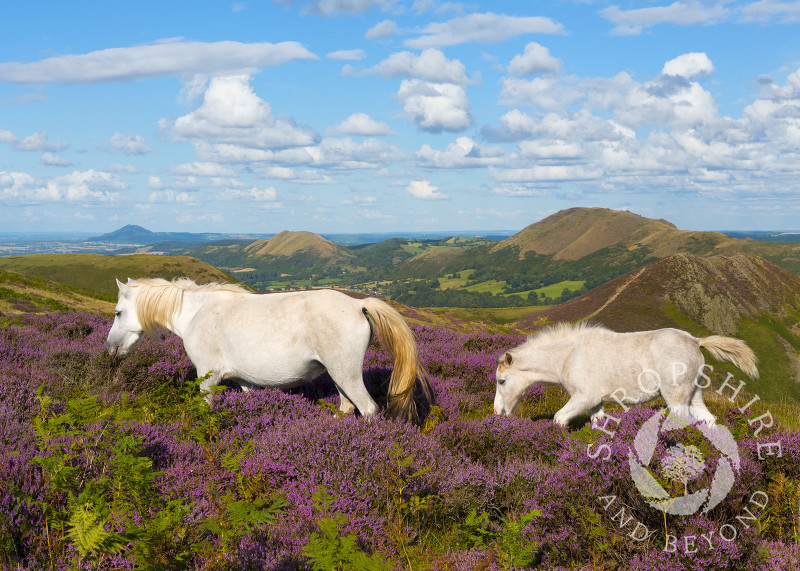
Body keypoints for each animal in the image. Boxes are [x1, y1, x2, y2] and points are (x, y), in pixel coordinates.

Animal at [108, 280, 432, 422]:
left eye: (118, 312)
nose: (110, 349)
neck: (195, 314)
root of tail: (357, 304)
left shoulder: (208, 379)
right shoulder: (246, 382)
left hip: (347, 376)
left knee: (368, 410)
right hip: (341, 377)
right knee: (346, 406)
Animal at [490, 324, 760, 426]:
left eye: (502, 381)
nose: (498, 412)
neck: (569, 355)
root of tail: (695, 341)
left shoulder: (584, 397)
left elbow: (558, 418)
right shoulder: (596, 403)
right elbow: (598, 422)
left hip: (676, 399)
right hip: (695, 396)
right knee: (709, 420)